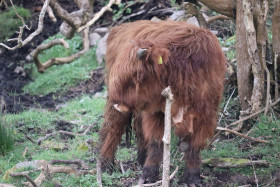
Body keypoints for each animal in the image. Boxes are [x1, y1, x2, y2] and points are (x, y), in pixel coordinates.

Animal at [99, 20, 226, 186]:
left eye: (136, 75)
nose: (117, 100)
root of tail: (121, 27)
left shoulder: (205, 114)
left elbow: (193, 145)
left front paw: (193, 177)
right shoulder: (157, 113)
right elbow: (156, 142)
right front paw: (148, 175)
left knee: (138, 126)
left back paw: (141, 157)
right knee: (113, 128)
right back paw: (105, 164)